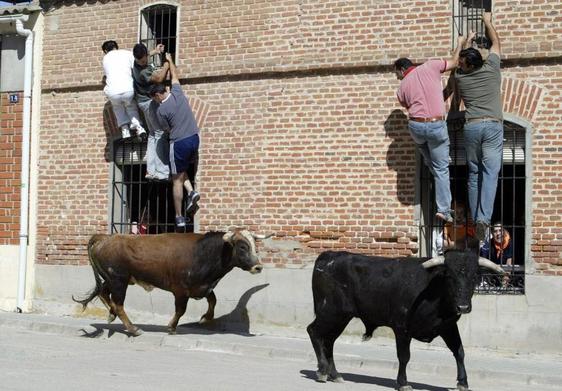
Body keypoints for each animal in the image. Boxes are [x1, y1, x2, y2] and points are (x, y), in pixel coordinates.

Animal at [73, 228, 270, 336]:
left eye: (254, 246)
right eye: (242, 247)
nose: (258, 267)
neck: (203, 252)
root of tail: (105, 237)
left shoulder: (202, 287)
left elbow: (213, 300)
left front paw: (205, 318)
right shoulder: (181, 291)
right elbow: (181, 310)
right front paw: (171, 327)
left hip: (113, 279)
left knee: (104, 294)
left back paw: (111, 315)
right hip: (118, 280)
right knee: (118, 303)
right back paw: (133, 328)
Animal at [306, 250, 504, 390]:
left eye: (474, 276)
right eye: (449, 276)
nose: (463, 307)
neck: (434, 291)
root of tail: (328, 256)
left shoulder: (448, 326)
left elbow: (459, 351)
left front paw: (463, 382)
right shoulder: (402, 327)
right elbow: (404, 356)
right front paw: (403, 383)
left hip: (341, 317)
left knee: (329, 341)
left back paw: (335, 374)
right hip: (330, 312)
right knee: (314, 331)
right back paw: (322, 371)